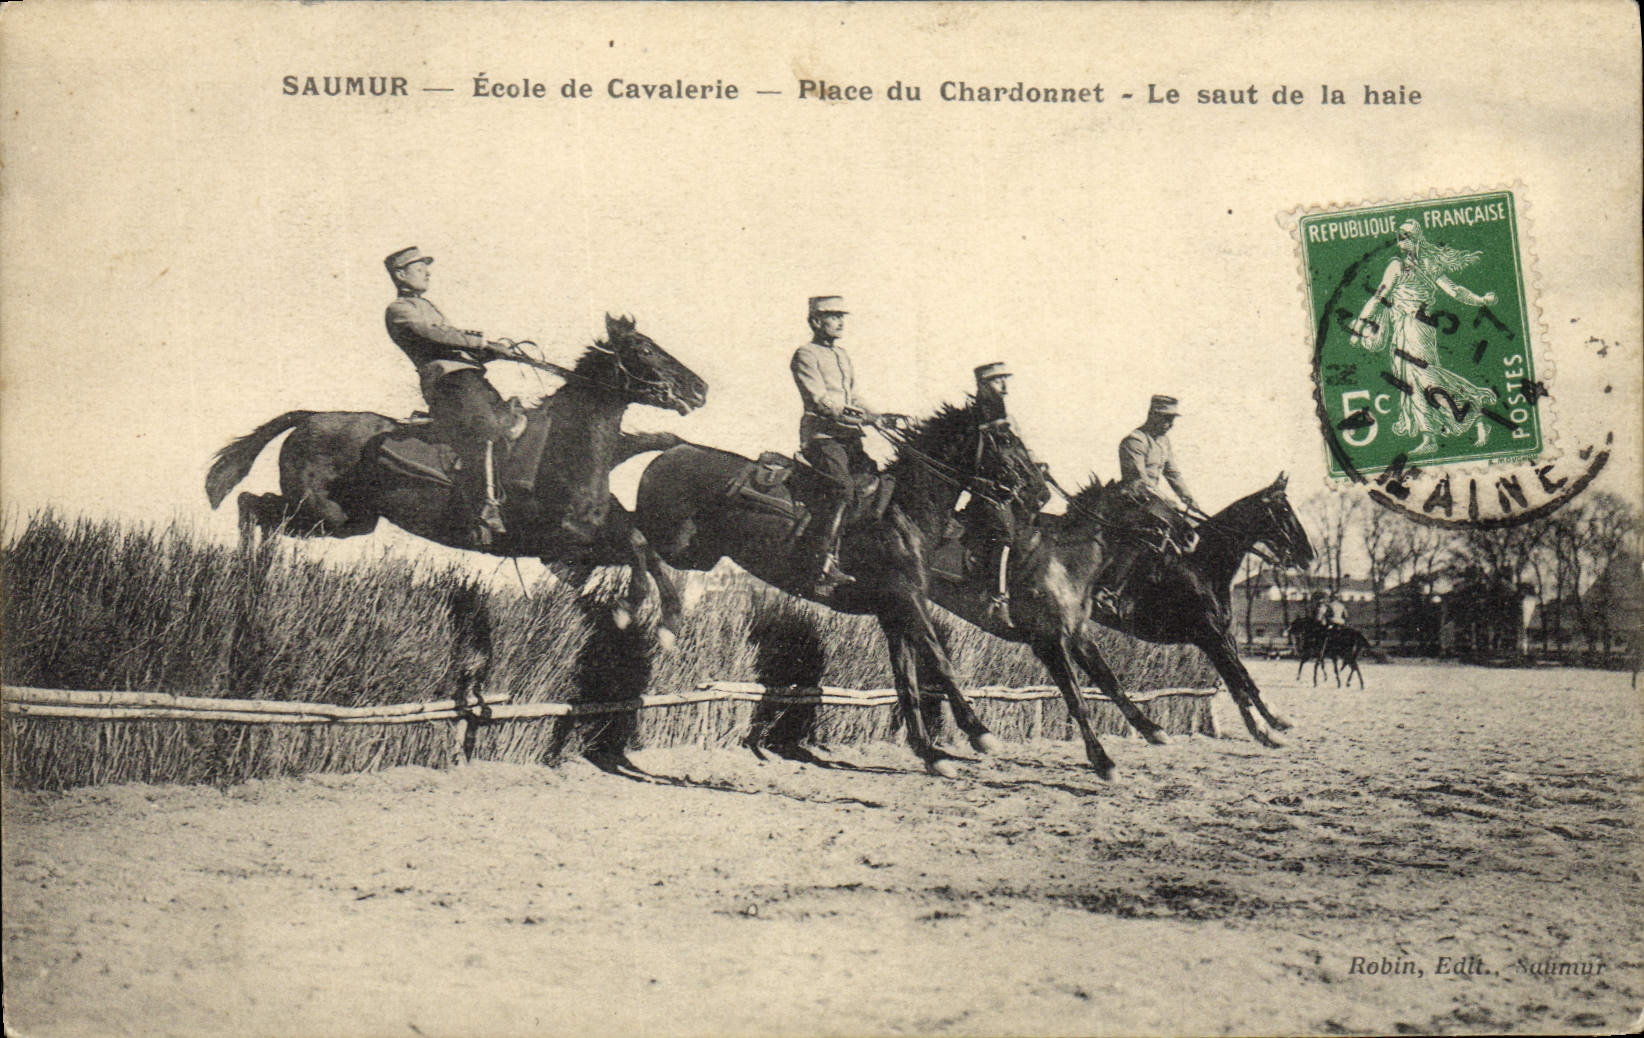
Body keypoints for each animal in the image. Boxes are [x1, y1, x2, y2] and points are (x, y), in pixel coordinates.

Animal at [205, 315, 708, 640]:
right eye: (644, 348)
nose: (699, 387)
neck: (565, 452)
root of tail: (310, 417)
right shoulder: (556, 546)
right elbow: (637, 553)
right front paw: (630, 609)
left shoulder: (580, 549)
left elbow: (642, 547)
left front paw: (668, 622)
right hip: (323, 513)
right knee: (250, 504)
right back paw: (248, 572)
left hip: (348, 520)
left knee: (259, 510)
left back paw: (258, 571)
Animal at [634, 399, 1077, 777]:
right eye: (1005, 439)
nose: (1039, 491)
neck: (904, 514)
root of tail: (677, 448)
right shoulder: (906, 598)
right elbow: (939, 659)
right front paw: (980, 734)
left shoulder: (893, 612)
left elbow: (906, 679)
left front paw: (930, 753)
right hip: (675, 542)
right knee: (633, 539)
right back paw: (662, 617)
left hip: (696, 553)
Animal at [1052, 474, 1315, 748]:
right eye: (1284, 510)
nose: (1309, 556)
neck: (1201, 565)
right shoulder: (1208, 635)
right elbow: (1239, 678)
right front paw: (1269, 726)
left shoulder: (1221, 635)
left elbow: (1240, 678)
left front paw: (1269, 723)